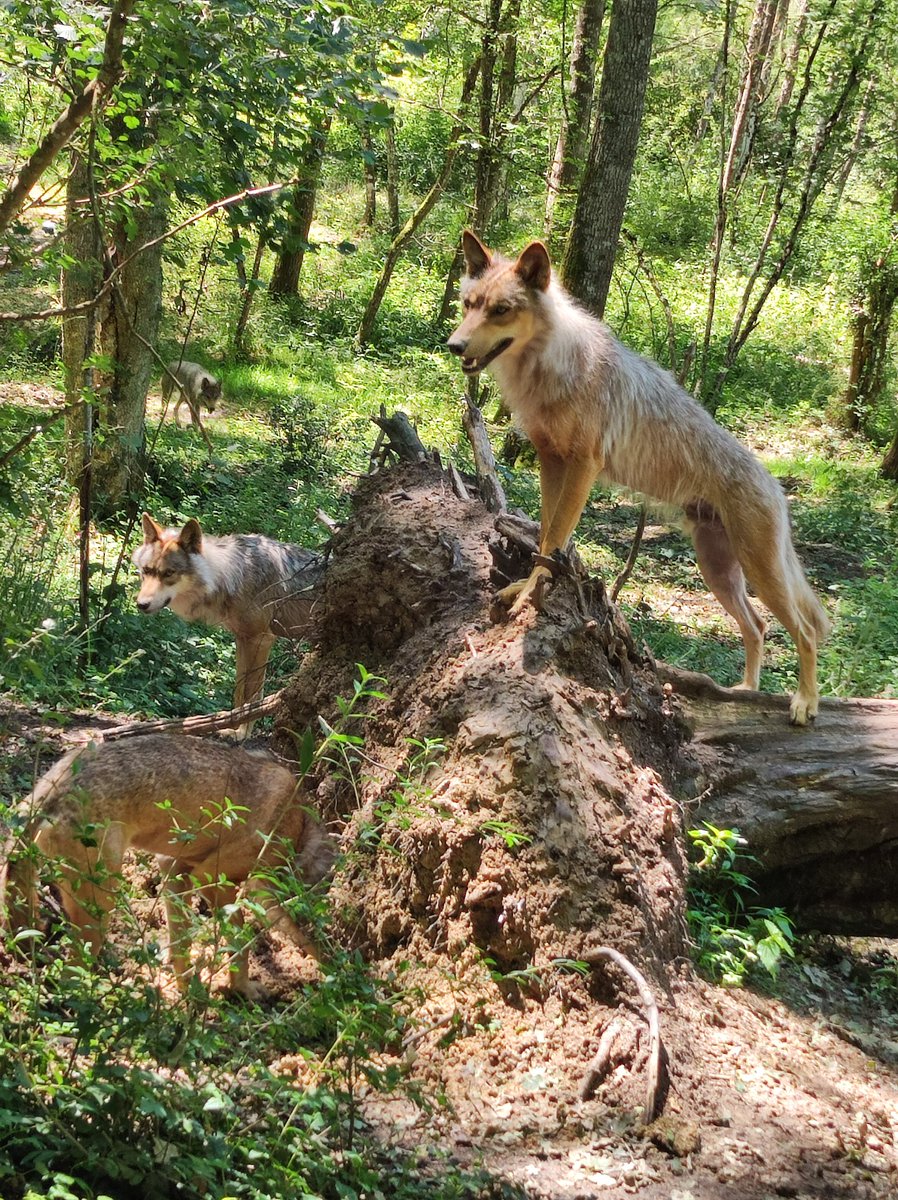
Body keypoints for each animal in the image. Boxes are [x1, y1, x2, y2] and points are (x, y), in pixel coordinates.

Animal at [0, 734, 334, 997]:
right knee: (72, 973)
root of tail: (54, 787)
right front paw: (242, 989)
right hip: (101, 907)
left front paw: (187, 988)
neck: (299, 824)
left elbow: (181, 940)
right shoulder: (215, 879)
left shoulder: (174, 868)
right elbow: (240, 943)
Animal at [133, 515, 323, 737]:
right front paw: (231, 727)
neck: (232, 575)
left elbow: (251, 697)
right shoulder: (242, 639)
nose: (141, 604)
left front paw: (241, 733)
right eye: (146, 571)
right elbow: (239, 693)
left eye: (169, 573)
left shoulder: (261, 640)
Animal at [447, 232, 831, 725]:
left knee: (805, 631)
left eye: (500, 310)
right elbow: (548, 535)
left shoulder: (582, 467)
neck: (552, 364)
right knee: (758, 626)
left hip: (760, 575)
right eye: (469, 304)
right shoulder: (552, 462)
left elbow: (553, 538)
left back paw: (805, 703)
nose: (455, 346)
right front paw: (527, 587)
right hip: (720, 574)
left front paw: (528, 595)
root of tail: (777, 487)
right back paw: (745, 691)